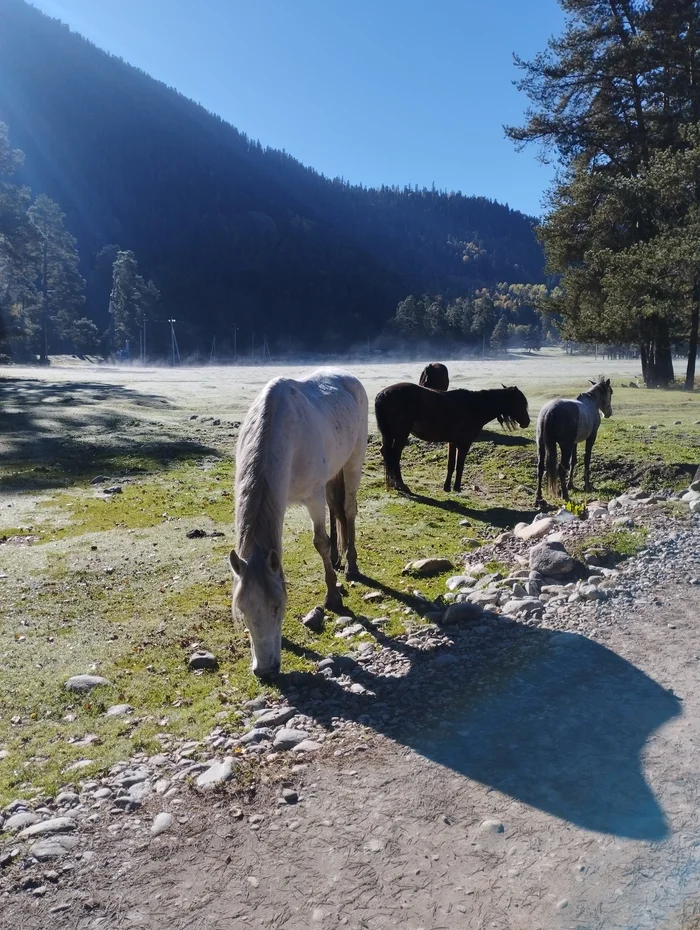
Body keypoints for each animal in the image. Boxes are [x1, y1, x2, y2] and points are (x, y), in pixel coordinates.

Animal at [231, 366, 372, 676]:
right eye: (242, 610)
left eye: (277, 606)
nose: (265, 670)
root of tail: (348, 377)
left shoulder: (312, 497)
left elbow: (319, 541)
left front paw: (333, 596)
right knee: (337, 509)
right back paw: (338, 558)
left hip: (353, 463)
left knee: (348, 509)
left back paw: (351, 565)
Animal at [374, 380, 528, 492]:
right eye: (521, 403)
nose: (527, 422)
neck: (474, 406)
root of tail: (382, 394)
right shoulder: (464, 443)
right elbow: (459, 465)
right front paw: (457, 487)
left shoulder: (452, 442)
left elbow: (451, 464)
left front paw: (447, 487)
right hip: (401, 434)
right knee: (394, 456)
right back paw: (400, 484)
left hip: (390, 435)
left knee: (387, 453)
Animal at [536, 378, 612, 508]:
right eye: (611, 392)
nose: (609, 413)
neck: (592, 402)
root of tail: (549, 411)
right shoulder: (591, 437)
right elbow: (587, 459)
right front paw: (586, 485)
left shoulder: (574, 443)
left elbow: (573, 461)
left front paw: (570, 484)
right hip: (565, 446)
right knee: (561, 468)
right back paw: (565, 495)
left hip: (541, 444)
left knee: (540, 468)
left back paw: (539, 497)